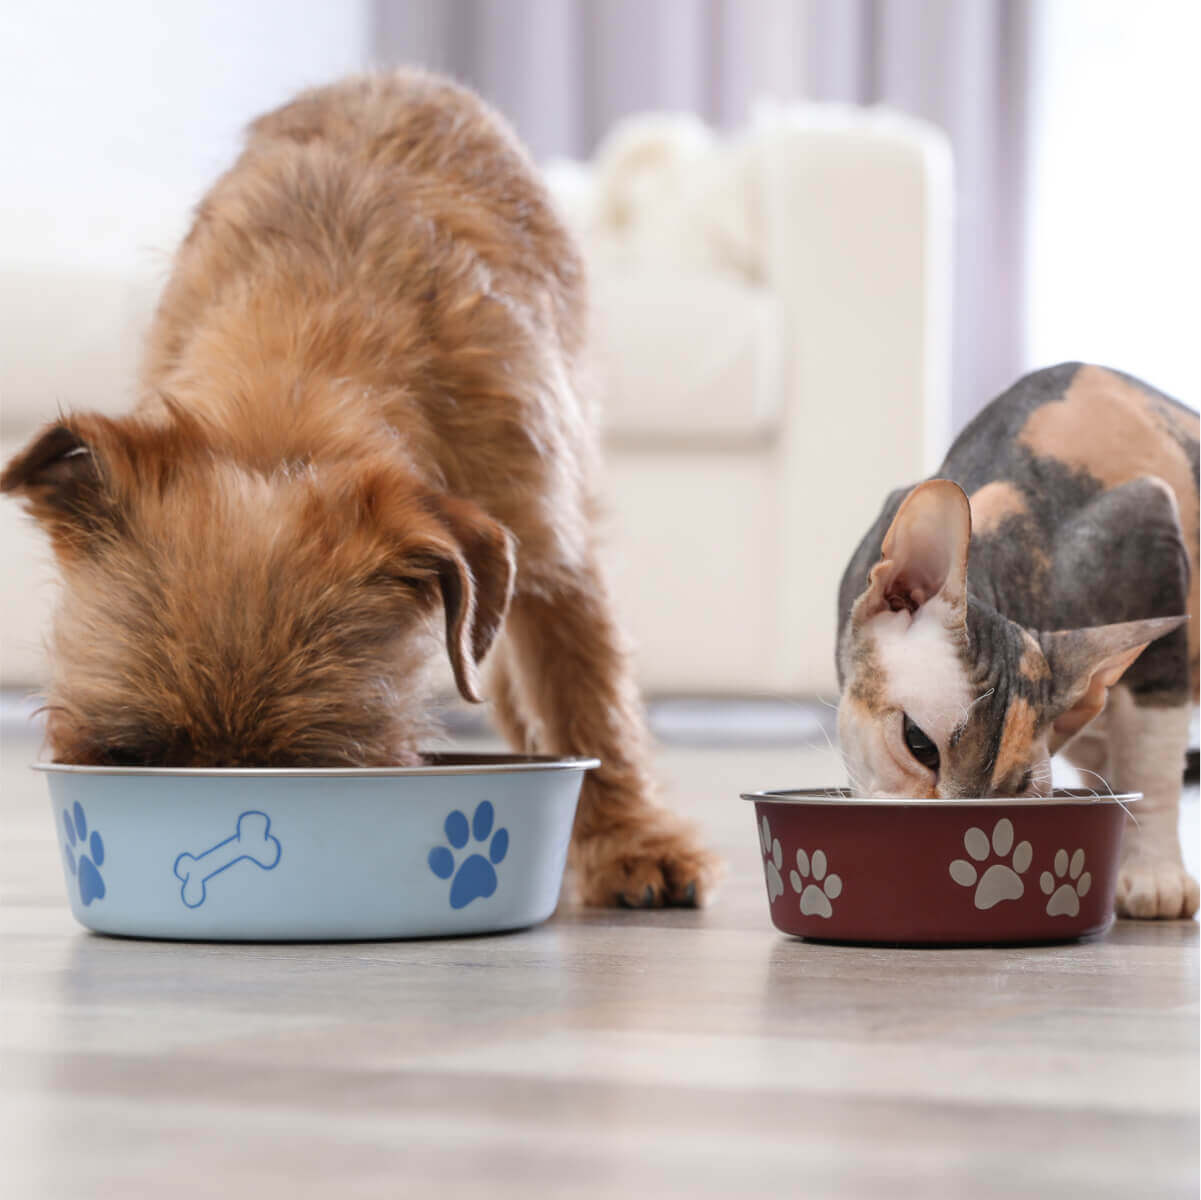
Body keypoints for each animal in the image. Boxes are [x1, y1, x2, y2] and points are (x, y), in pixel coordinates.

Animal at [0, 70, 715, 903]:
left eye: (306, 769)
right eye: (131, 759)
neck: (290, 403)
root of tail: (396, 76)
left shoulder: (549, 549)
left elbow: (586, 702)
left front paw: (633, 842)